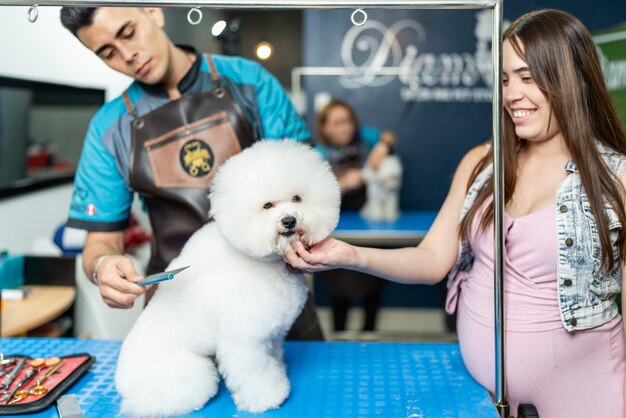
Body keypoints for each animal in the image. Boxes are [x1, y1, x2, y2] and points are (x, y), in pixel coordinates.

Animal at [114, 140, 338, 414]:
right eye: (267, 206)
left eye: (297, 198)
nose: (289, 220)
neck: (261, 263)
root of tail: (124, 385)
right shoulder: (243, 341)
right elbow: (255, 373)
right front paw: (268, 397)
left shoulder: (271, 334)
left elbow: (273, 357)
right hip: (188, 374)